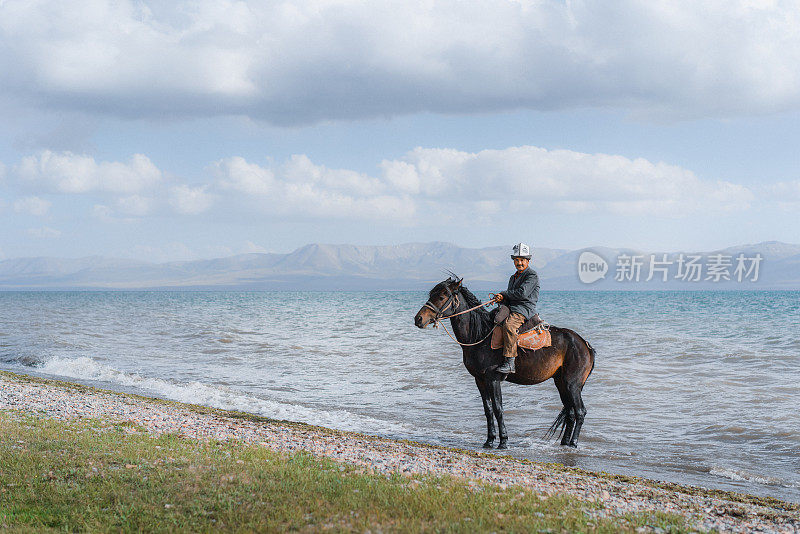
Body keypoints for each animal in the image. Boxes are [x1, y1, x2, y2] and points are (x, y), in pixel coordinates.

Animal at [418, 278, 592, 450]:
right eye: (432, 294)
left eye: (442, 296)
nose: (418, 319)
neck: (480, 335)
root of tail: (585, 345)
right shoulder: (480, 380)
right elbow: (488, 410)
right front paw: (489, 440)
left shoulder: (493, 379)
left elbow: (498, 409)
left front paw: (503, 441)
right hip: (560, 382)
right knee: (570, 412)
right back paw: (565, 442)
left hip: (572, 384)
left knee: (580, 411)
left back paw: (573, 443)